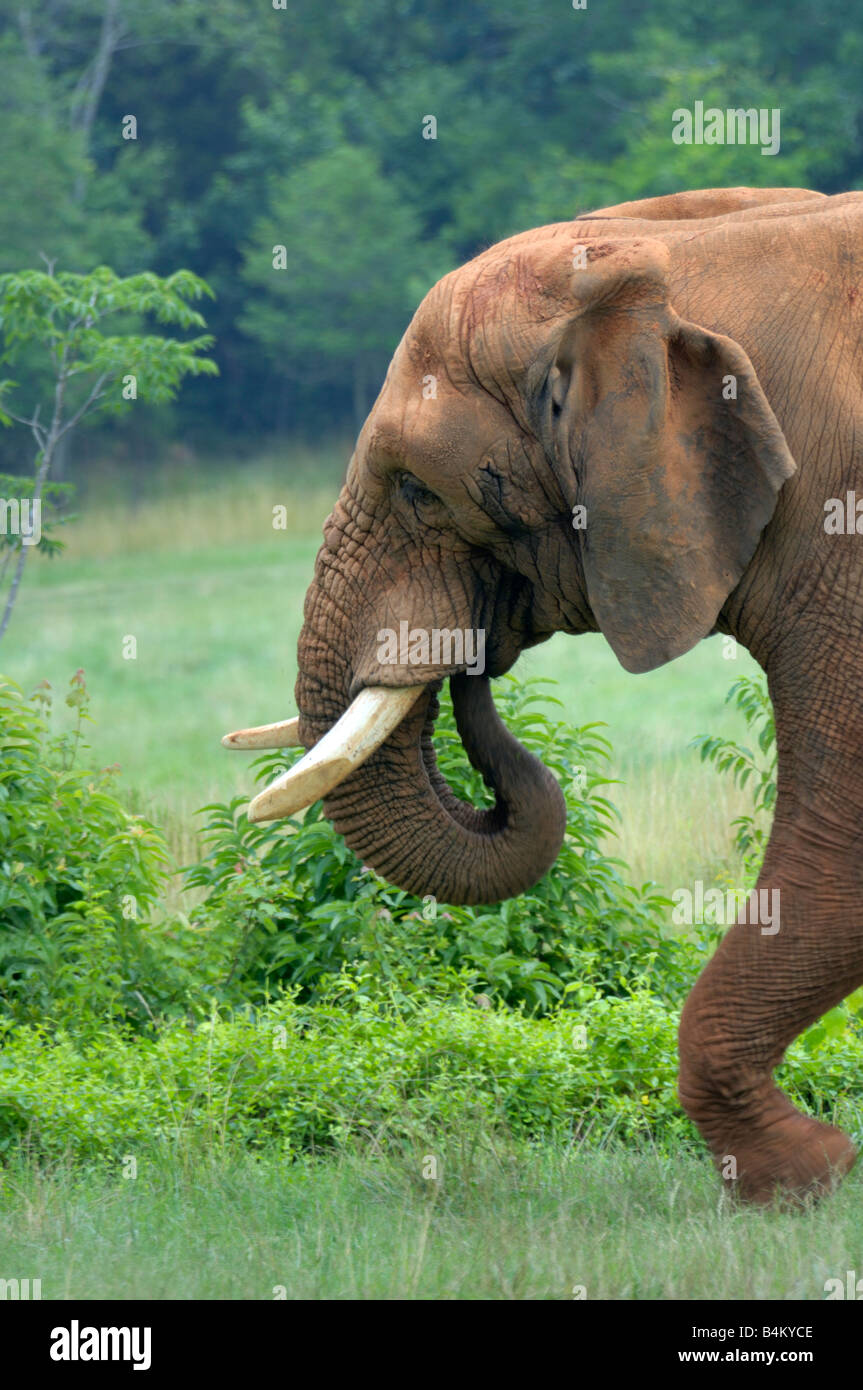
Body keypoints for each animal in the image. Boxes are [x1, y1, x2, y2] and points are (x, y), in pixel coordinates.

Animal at [226, 185, 863, 1205]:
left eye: (417, 490)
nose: (473, 652)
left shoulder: (839, 527)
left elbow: (844, 830)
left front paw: (801, 1175)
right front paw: (811, 1170)